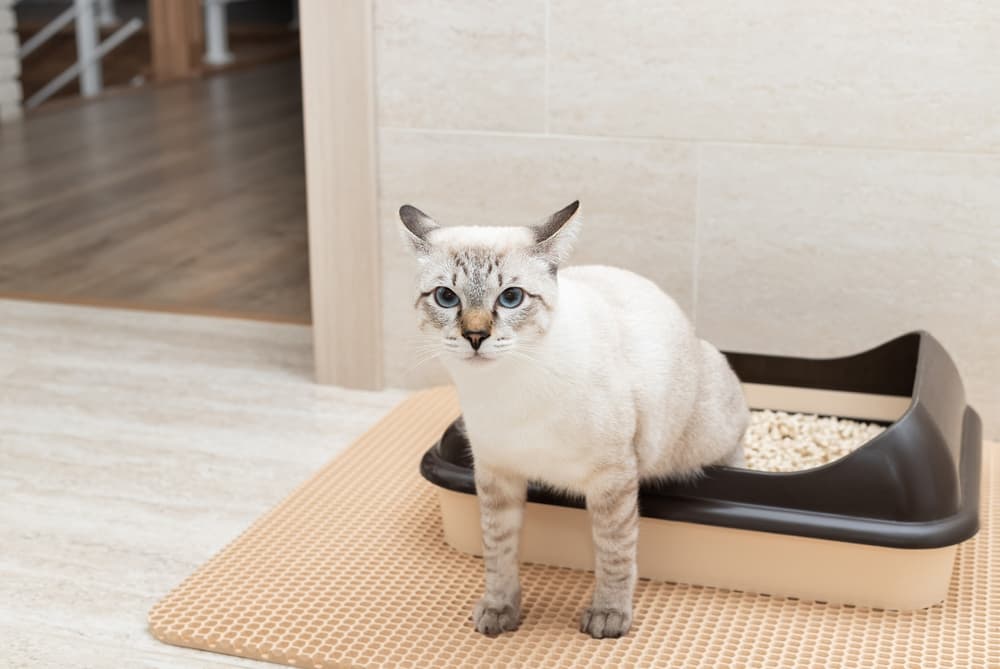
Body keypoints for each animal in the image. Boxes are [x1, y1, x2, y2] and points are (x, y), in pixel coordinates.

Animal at [394, 198, 748, 636]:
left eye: (511, 298)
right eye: (446, 297)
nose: (475, 336)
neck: (505, 388)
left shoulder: (612, 478)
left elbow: (613, 552)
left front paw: (608, 617)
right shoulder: (496, 475)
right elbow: (499, 553)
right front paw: (499, 611)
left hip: (710, 433)